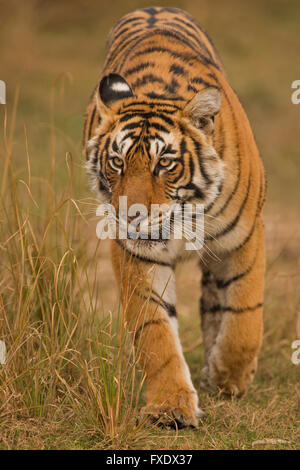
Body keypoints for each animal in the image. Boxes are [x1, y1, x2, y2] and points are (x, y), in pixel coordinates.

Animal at [83, 6, 266, 430]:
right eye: (117, 162)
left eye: (164, 164)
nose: (129, 216)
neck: (185, 213)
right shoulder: (137, 253)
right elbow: (155, 332)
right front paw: (170, 408)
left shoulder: (245, 237)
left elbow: (244, 317)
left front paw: (229, 376)